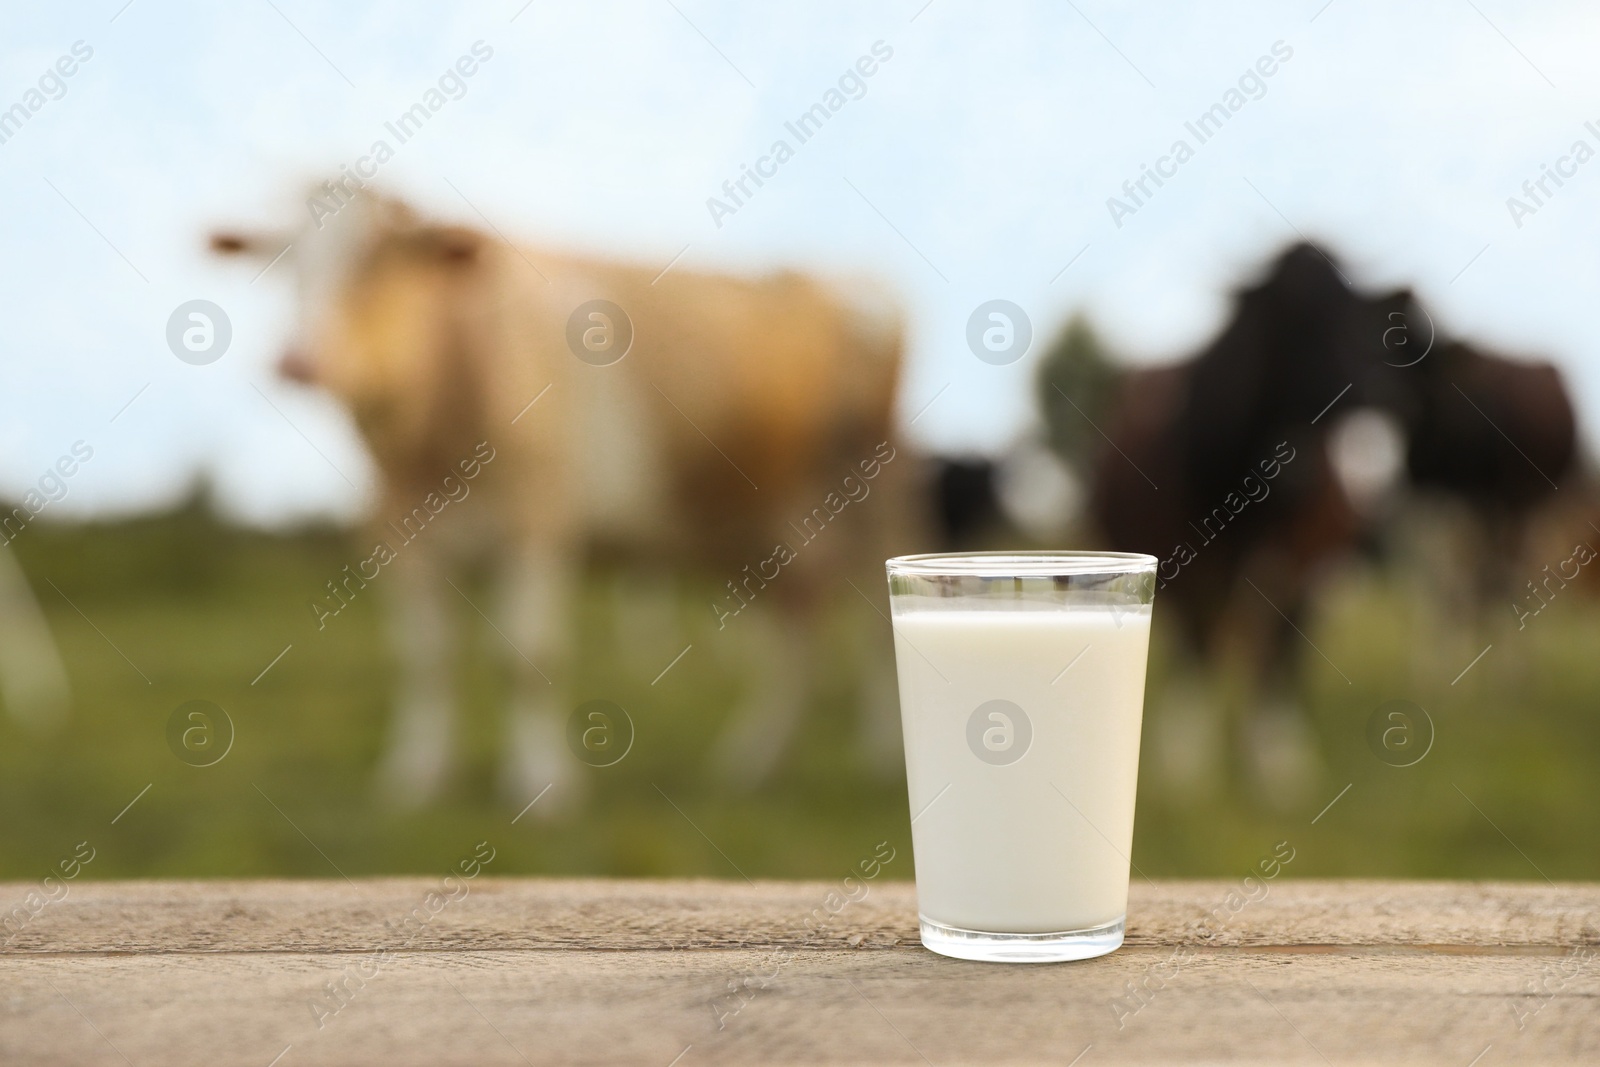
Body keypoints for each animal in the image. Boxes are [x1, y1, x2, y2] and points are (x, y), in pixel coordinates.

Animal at [212, 189, 915, 809]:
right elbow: (427, 659)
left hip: (868, 499)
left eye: (379, 258)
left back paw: (881, 755)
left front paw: (543, 785)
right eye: (287, 262)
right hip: (764, 531)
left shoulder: (536, 526)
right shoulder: (400, 538)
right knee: (798, 632)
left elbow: (527, 657)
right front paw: (416, 775)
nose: (298, 361)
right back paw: (752, 762)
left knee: (870, 621)